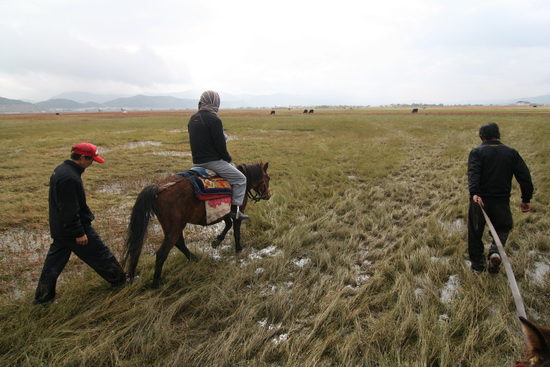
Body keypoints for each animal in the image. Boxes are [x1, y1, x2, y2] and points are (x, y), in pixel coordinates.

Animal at [124, 163, 272, 288]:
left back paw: (195, 258)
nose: (269, 195)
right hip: (175, 227)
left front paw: (217, 241)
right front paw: (239, 249)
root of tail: (158, 189)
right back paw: (156, 283)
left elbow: (228, 225)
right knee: (162, 252)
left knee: (179, 243)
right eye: (268, 178)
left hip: (174, 227)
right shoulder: (238, 211)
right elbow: (236, 230)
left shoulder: (224, 212)